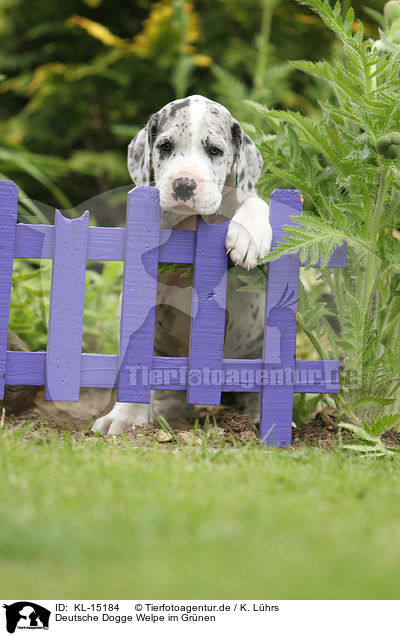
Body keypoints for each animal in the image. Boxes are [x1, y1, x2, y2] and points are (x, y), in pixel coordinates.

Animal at [92, 94, 272, 434]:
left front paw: (249, 234)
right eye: (164, 146)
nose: (184, 184)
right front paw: (125, 415)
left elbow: (254, 201)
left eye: (215, 151)